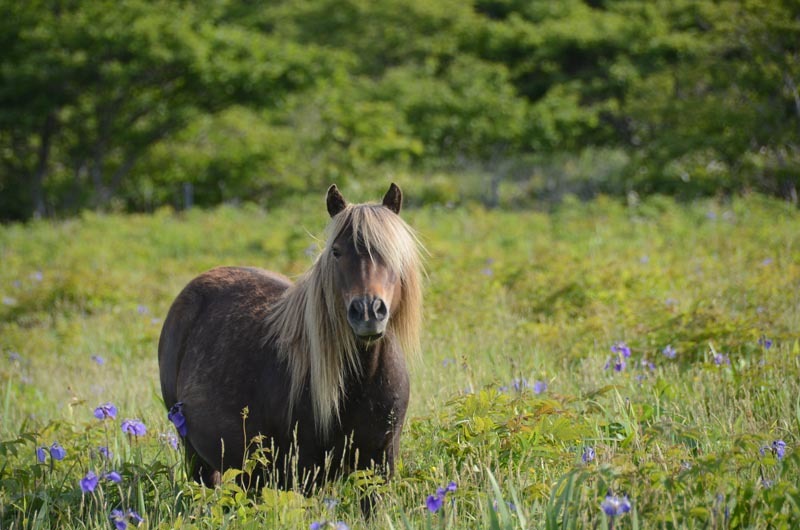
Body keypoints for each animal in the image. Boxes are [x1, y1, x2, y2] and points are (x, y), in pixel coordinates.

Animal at [153, 182, 422, 500]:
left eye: (395, 253)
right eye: (336, 251)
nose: (368, 311)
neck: (362, 381)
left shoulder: (379, 465)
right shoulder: (304, 470)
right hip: (197, 456)